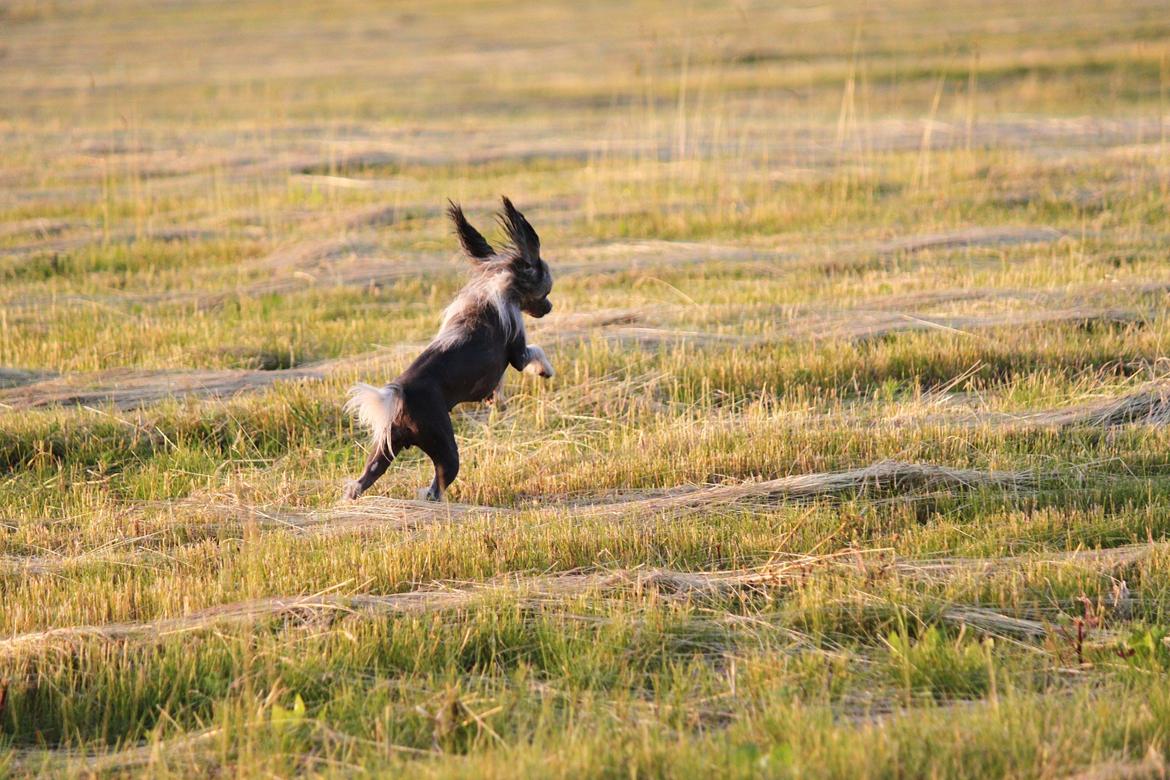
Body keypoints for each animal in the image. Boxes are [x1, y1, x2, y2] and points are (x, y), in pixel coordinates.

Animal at [341, 195, 554, 500]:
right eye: (545, 290)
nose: (550, 307)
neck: (498, 285)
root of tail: (399, 395)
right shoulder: (517, 350)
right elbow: (536, 351)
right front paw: (545, 371)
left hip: (385, 449)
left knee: (361, 481)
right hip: (443, 446)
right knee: (437, 484)